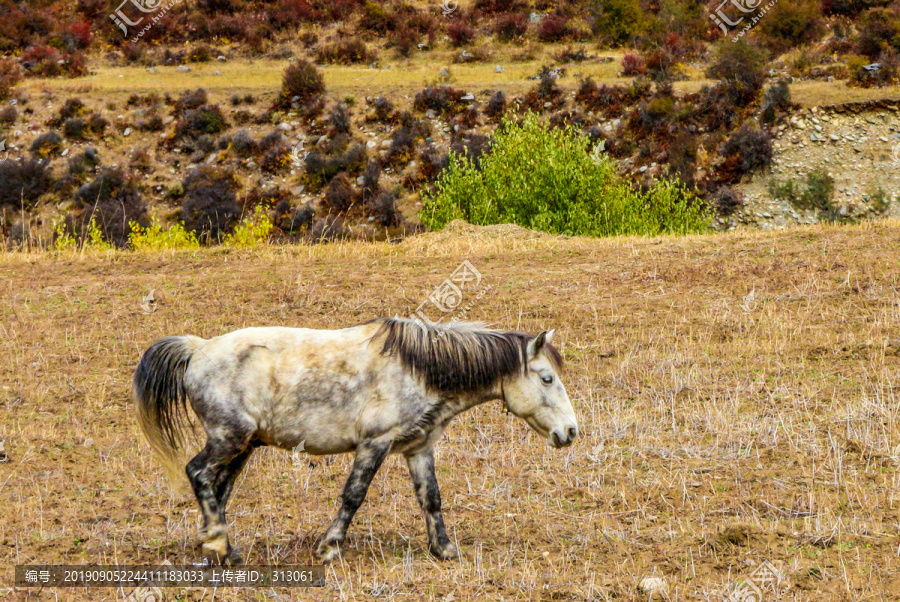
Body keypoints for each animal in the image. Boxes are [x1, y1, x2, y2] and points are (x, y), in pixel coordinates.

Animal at [136, 318, 580, 564]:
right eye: (546, 378)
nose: (571, 432)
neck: (417, 368)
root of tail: (198, 349)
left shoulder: (418, 448)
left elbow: (431, 499)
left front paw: (444, 550)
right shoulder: (374, 444)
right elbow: (353, 495)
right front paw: (330, 548)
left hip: (242, 446)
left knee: (218, 488)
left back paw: (219, 546)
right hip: (229, 439)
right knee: (198, 473)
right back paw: (220, 545)